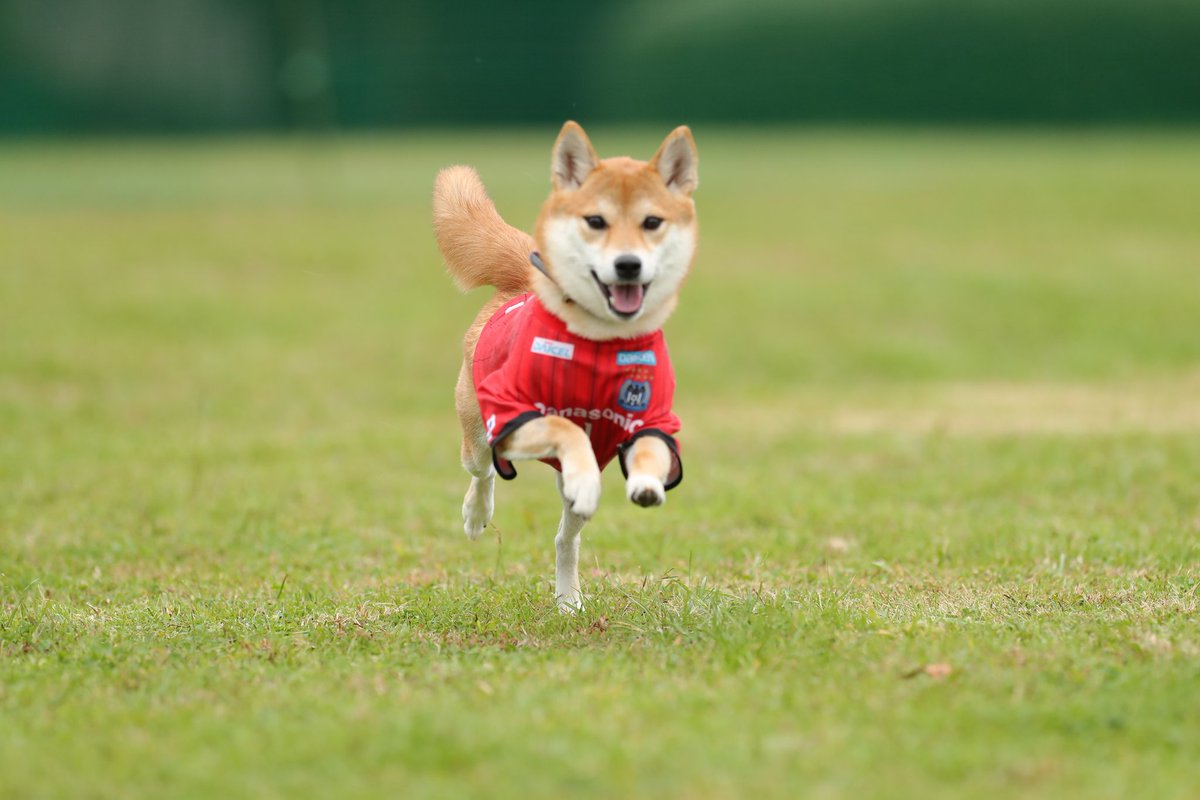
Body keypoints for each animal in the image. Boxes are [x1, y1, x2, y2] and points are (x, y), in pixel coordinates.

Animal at [434, 120, 700, 606]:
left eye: (652, 222)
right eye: (595, 221)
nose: (628, 265)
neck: (600, 342)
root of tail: (525, 277)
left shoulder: (651, 421)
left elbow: (649, 450)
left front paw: (646, 484)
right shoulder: (516, 415)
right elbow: (566, 425)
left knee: (565, 538)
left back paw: (569, 600)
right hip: (478, 432)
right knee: (483, 472)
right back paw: (476, 515)